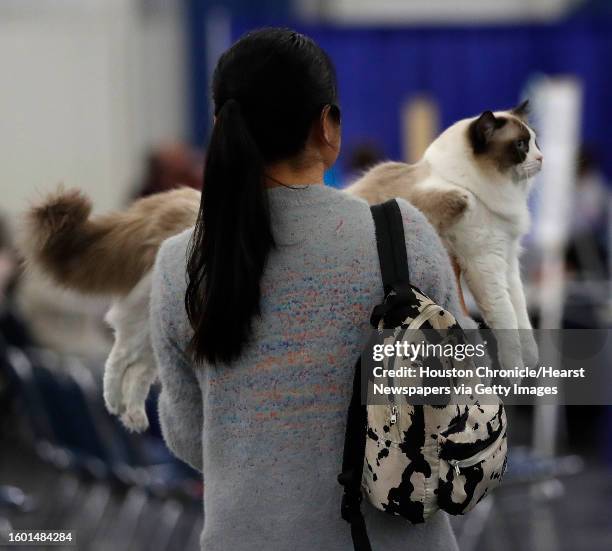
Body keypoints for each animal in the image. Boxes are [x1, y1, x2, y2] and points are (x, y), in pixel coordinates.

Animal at [22, 102, 540, 432]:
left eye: (534, 142)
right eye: (521, 145)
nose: (540, 158)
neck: (494, 194)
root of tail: (188, 205)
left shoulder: (506, 261)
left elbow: (521, 318)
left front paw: (532, 362)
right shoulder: (482, 259)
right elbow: (503, 318)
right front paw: (517, 370)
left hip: (155, 332)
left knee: (126, 360)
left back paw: (127, 416)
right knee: (125, 360)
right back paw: (124, 413)